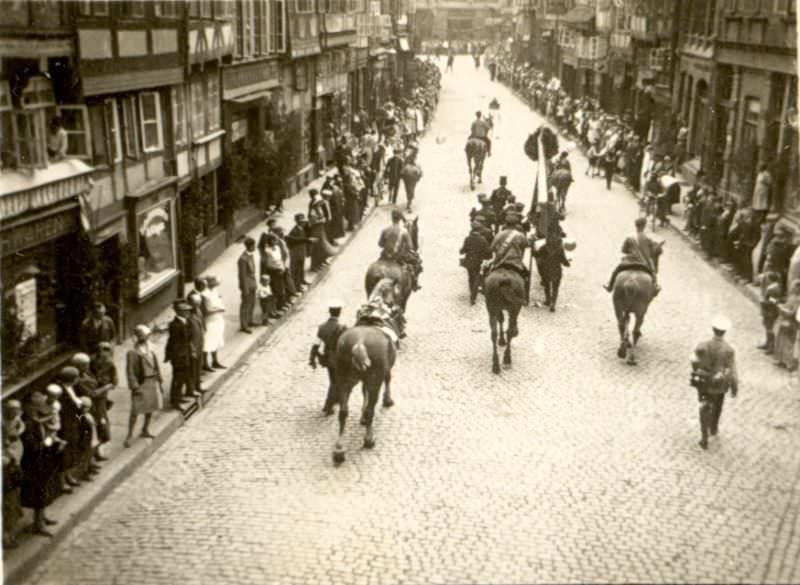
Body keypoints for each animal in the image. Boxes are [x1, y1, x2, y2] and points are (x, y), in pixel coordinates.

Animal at [332, 278, 396, 466]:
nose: (394, 305)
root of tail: (360, 342)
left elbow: (363, 392)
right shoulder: (383, 372)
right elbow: (387, 380)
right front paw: (387, 400)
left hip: (343, 382)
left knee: (343, 413)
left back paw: (339, 450)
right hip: (373, 381)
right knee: (370, 410)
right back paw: (369, 439)